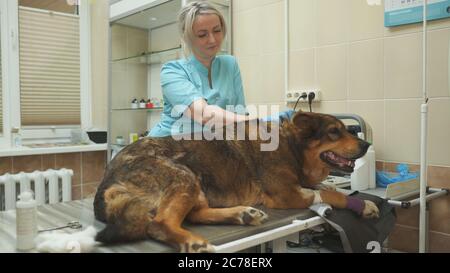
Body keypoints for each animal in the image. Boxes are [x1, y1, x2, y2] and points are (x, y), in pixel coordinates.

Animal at [94, 110, 380, 251]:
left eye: (347, 130)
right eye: (334, 132)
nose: (367, 144)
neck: (292, 146)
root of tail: (107, 178)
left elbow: (328, 186)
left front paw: (362, 202)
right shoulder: (287, 194)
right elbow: (332, 194)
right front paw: (357, 203)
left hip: (197, 185)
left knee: (195, 215)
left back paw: (243, 214)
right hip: (184, 176)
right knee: (160, 223)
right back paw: (195, 242)